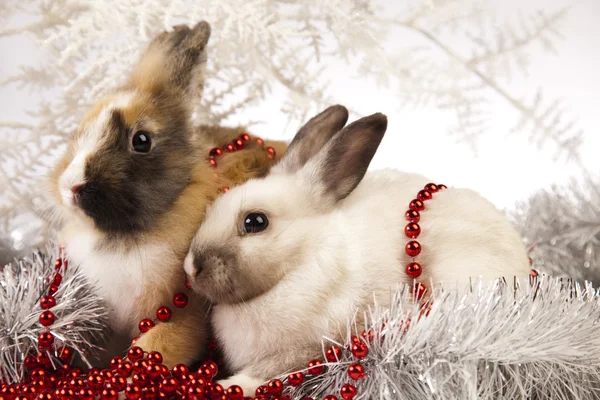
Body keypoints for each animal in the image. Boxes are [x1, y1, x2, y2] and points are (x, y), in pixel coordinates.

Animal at [183, 104, 528, 394]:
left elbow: (267, 371)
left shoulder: (311, 349)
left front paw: (229, 385)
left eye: (255, 222)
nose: (190, 267)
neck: (302, 256)